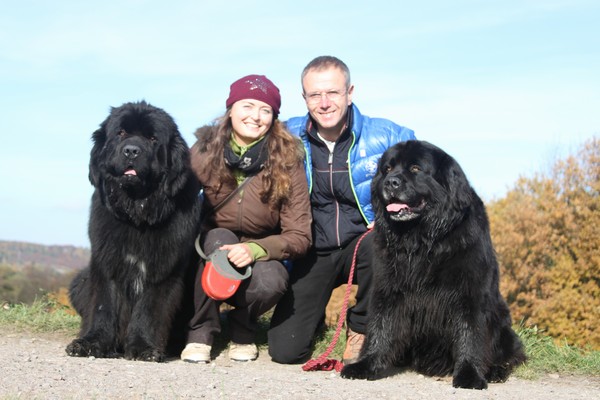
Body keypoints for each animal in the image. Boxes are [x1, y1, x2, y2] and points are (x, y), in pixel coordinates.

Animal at [65, 101, 201, 362]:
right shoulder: (107, 263)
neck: (137, 215)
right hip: (79, 281)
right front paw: (91, 343)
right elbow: (104, 305)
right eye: (120, 133)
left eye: (152, 138)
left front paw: (143, 347)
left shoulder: (162, 270)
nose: (131, 151)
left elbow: (149, 309)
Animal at [341, 140, 526, 389]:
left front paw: (469, 375)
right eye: (387, 169)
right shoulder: (389, 288)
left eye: (416, 169)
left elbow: (470, 332)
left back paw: (495, 371)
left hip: (502, 323)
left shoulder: (470, 291)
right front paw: (366, 364)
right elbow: (381, 325)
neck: (421, 239)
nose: (390, 182)